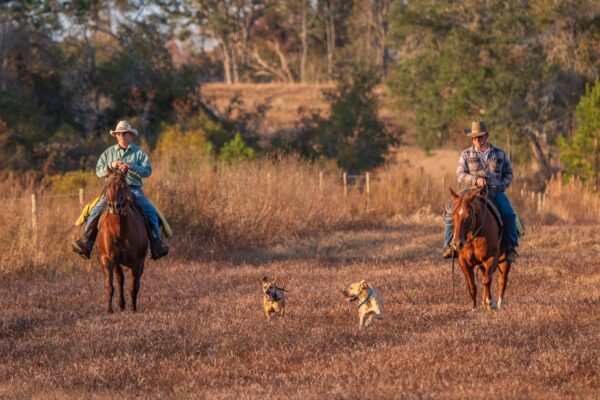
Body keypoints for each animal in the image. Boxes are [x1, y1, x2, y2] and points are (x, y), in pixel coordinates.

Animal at [96, 169, 148, 312]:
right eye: (108, 185)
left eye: (124, 186)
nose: (115, 206)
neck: (119, 231)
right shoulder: (107, 259)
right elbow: (110, 286)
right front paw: (109, 310)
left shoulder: (137, 262)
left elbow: (134, 287)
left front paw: (133, 309)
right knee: (120, 279)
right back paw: (121, 304)